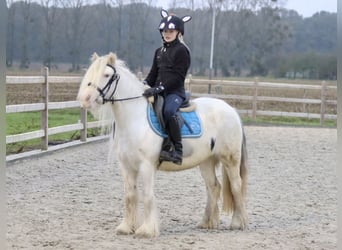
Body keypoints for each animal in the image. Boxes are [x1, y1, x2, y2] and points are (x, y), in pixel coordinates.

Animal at [77, 52, 248, 238]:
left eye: (107, 75)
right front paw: (126, 227)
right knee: (214, 187)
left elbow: (147, 196)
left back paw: (238, 223)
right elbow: (130, 196)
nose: (85, 99)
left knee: (236, 186)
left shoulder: (146, 166)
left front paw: (147, 230)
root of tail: (231, 110)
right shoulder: (126, 167)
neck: (134, 119)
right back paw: (207, 222)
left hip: (230, 159)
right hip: (206, 161)